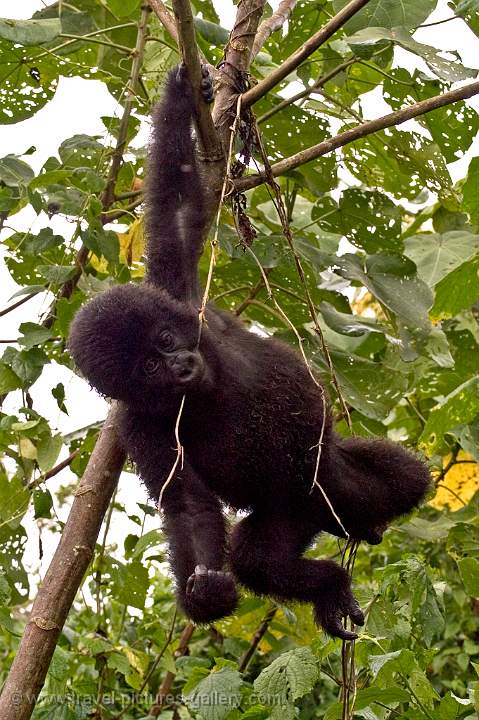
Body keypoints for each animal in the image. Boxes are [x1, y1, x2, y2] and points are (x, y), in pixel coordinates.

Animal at [68, 66, 432, 640]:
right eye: (148, 367)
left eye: (164, 341)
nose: (180, 366)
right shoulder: (137, 424)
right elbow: (187, 504)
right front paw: (203, 591)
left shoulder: (182, 299)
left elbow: (175, 209)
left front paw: (185, 92)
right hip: (289, 512)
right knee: (256, 560)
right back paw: (329, 585)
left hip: (324, 481)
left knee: (395, 476)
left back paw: (369, 522)